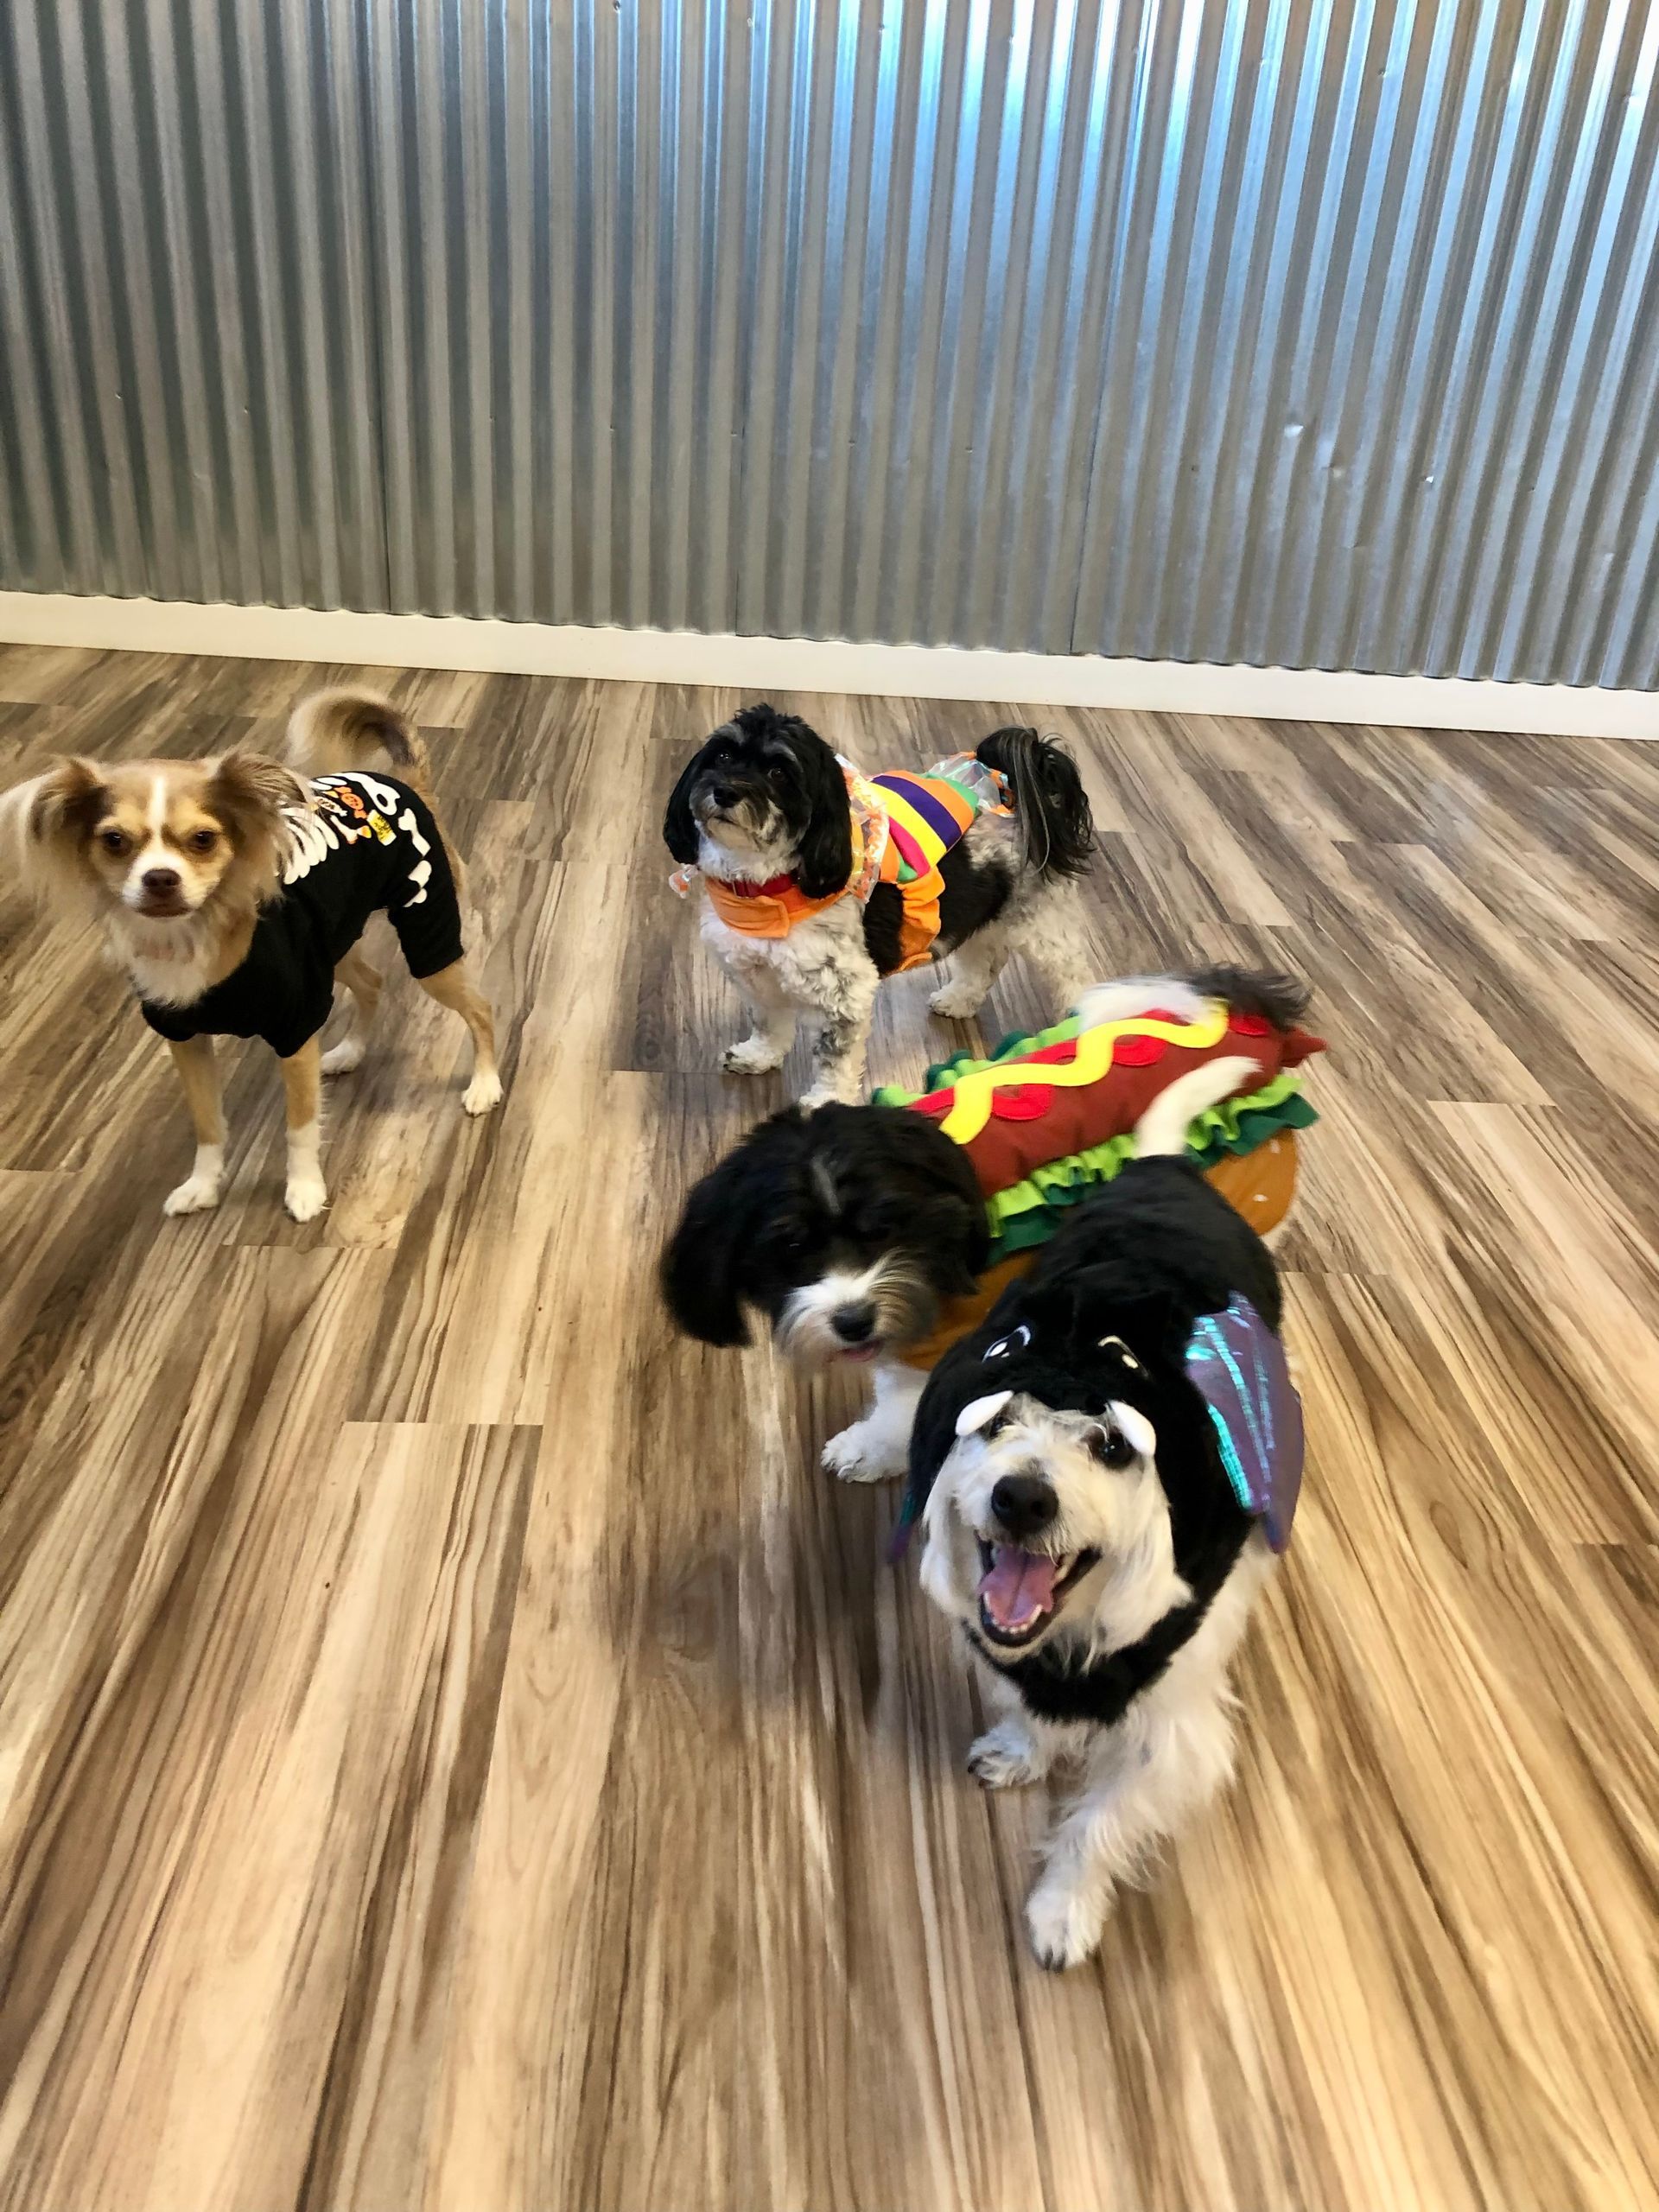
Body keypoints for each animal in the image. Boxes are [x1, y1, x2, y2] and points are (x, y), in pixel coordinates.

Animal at [4, 685, 499, 1221]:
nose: (160, 878)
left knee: (481, 1009)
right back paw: (351, 1051)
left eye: (204, 839)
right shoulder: (185, 1041)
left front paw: (304, 1189)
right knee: (372, 983)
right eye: (114, 841)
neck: (193, 935)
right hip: (334, 941)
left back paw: (485, 1084)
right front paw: (203, 1185)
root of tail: (404, 783)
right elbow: (208, 1125)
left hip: (428, 939)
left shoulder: (296, 1030)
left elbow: (300, 1127)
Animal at [654, 969, 1318, 1486]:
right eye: (791, 1246)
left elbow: (908, 1411)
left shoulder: (945, 1337)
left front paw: (869, 1451)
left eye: (885, 1229)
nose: (853, 1321)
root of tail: (1252, 1027)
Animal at [664, 708, 1106, 1106]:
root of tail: (1022, 791)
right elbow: (769, 1023)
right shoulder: (755, 974)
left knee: (1071, 974)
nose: (726, 791)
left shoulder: (845, 992)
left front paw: (826, 1102)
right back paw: (957, 1000)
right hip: (978, 913)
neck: (765, 892)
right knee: (985, 962)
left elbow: (835, 1058)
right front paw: (758, 1057)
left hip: (1041, 923)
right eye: (723, 756)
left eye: (779, 773)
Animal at [902, 1123, 1309, 1973]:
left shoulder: (1173, 1736)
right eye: (995, 1419)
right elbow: (1028, 1713)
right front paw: (1021, 1750)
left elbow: (1098, 1824)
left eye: (1114, 1444)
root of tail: (1167, 1167)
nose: (1023, 1498)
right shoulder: (1016, 1662)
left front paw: (1063, 1910)